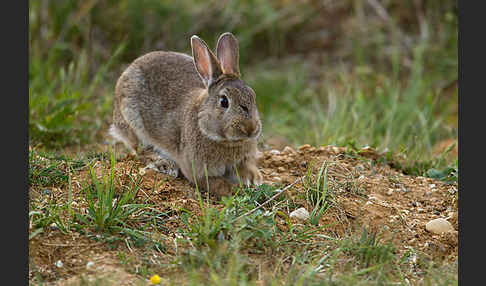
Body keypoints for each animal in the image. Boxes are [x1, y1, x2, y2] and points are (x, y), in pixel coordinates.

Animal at [108, 32, 264, 199]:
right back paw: (165, 165)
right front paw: (232, 190)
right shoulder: (198, 170)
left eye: (253, 95)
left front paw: (254, 179)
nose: (251, 129)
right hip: (133, 121)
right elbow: (213, 182)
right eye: (224, 101)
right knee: (140, 149)